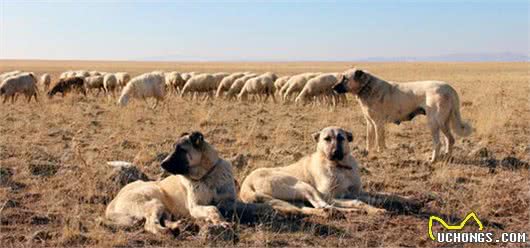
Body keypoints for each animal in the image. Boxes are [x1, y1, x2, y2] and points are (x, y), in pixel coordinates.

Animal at [103, 132, 235, 234]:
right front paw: (221, 221)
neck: (207, 176)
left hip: (163, 207)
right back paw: (167, 231)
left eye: (181, 150)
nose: (161, 163)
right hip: (154, 201)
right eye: (173, 148)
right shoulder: (195, 207)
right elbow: (213, 208)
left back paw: (178, 225)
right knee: (150, 224)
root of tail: (112, 204)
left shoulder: (229, 201)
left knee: (163, 219)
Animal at [239, 127, 384, 216]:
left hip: (294, 198)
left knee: (309, 209)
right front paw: (373, 209)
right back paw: (350, 211)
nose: (335, 152)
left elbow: (376, 196)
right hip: (302, 186)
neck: (340, 166)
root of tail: (246, 184)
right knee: (323, 205)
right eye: (327, 139)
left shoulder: (356, 192)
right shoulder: (329, 195)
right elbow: (357, 201)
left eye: (341, 138)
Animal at [332, 68, 472, 162]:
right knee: (450, 139)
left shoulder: (378, 123)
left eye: (345, 78)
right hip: (444, 122)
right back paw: (447, 156)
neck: (366, 87)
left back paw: (433, 159)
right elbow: (370, 140)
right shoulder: (370, 123)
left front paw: (380, 152)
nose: (333, 87)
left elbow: (379, 140)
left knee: (438, 143)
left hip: (434, 122)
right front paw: (368, 152)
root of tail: (449, 88)